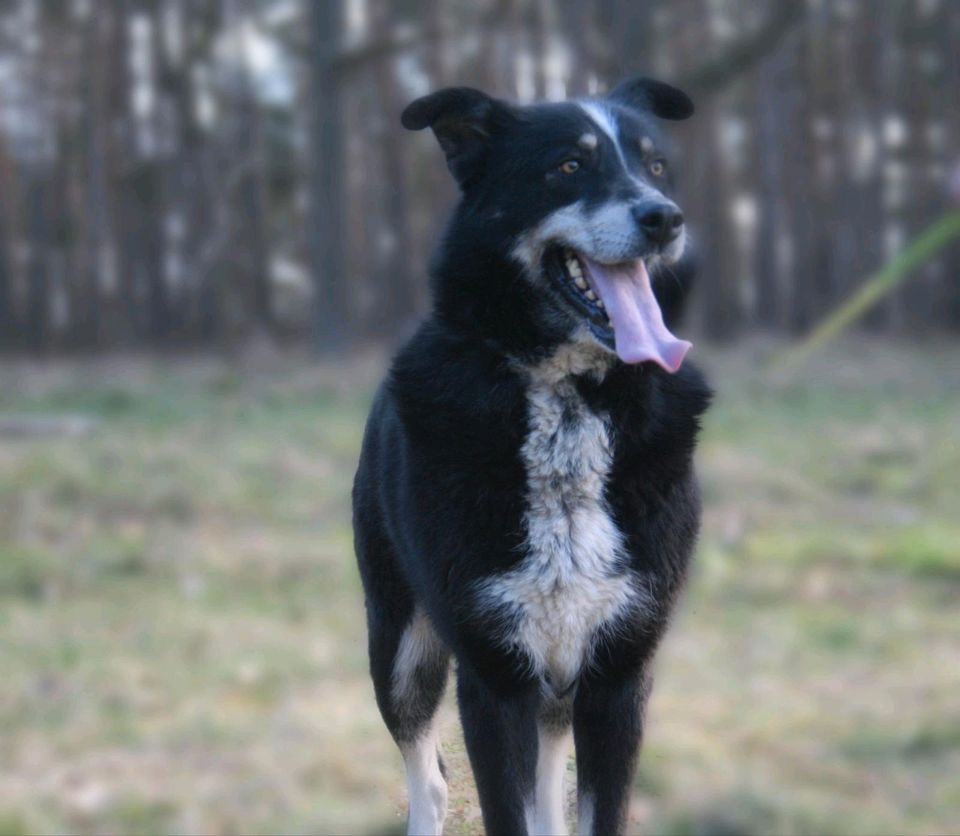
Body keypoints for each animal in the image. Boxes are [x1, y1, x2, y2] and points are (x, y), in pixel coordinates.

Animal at [354, 78, 712, 836]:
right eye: (568, 166)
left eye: (656, 166)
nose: (665, 218)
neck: (568, 400)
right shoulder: (492, 678)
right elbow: (501, 807)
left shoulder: (616, 674)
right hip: (400, 646)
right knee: (427, 778)